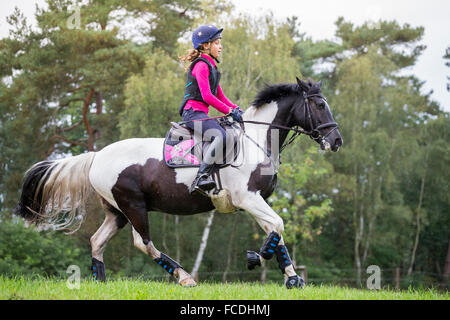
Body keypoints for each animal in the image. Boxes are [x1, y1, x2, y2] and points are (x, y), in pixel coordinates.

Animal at [15, 77, 342, 288]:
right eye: (320, 105)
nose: (336, 141)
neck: (256, 140)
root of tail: (97, 156)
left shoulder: (256, 200)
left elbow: (276, 230)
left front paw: (293, 278)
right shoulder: (247, 198)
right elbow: (277, 226)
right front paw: (255, 259)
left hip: (117, 211)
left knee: (97, 241)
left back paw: (100, 282)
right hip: (133, 206)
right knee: (143, 242)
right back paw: (184, 277)